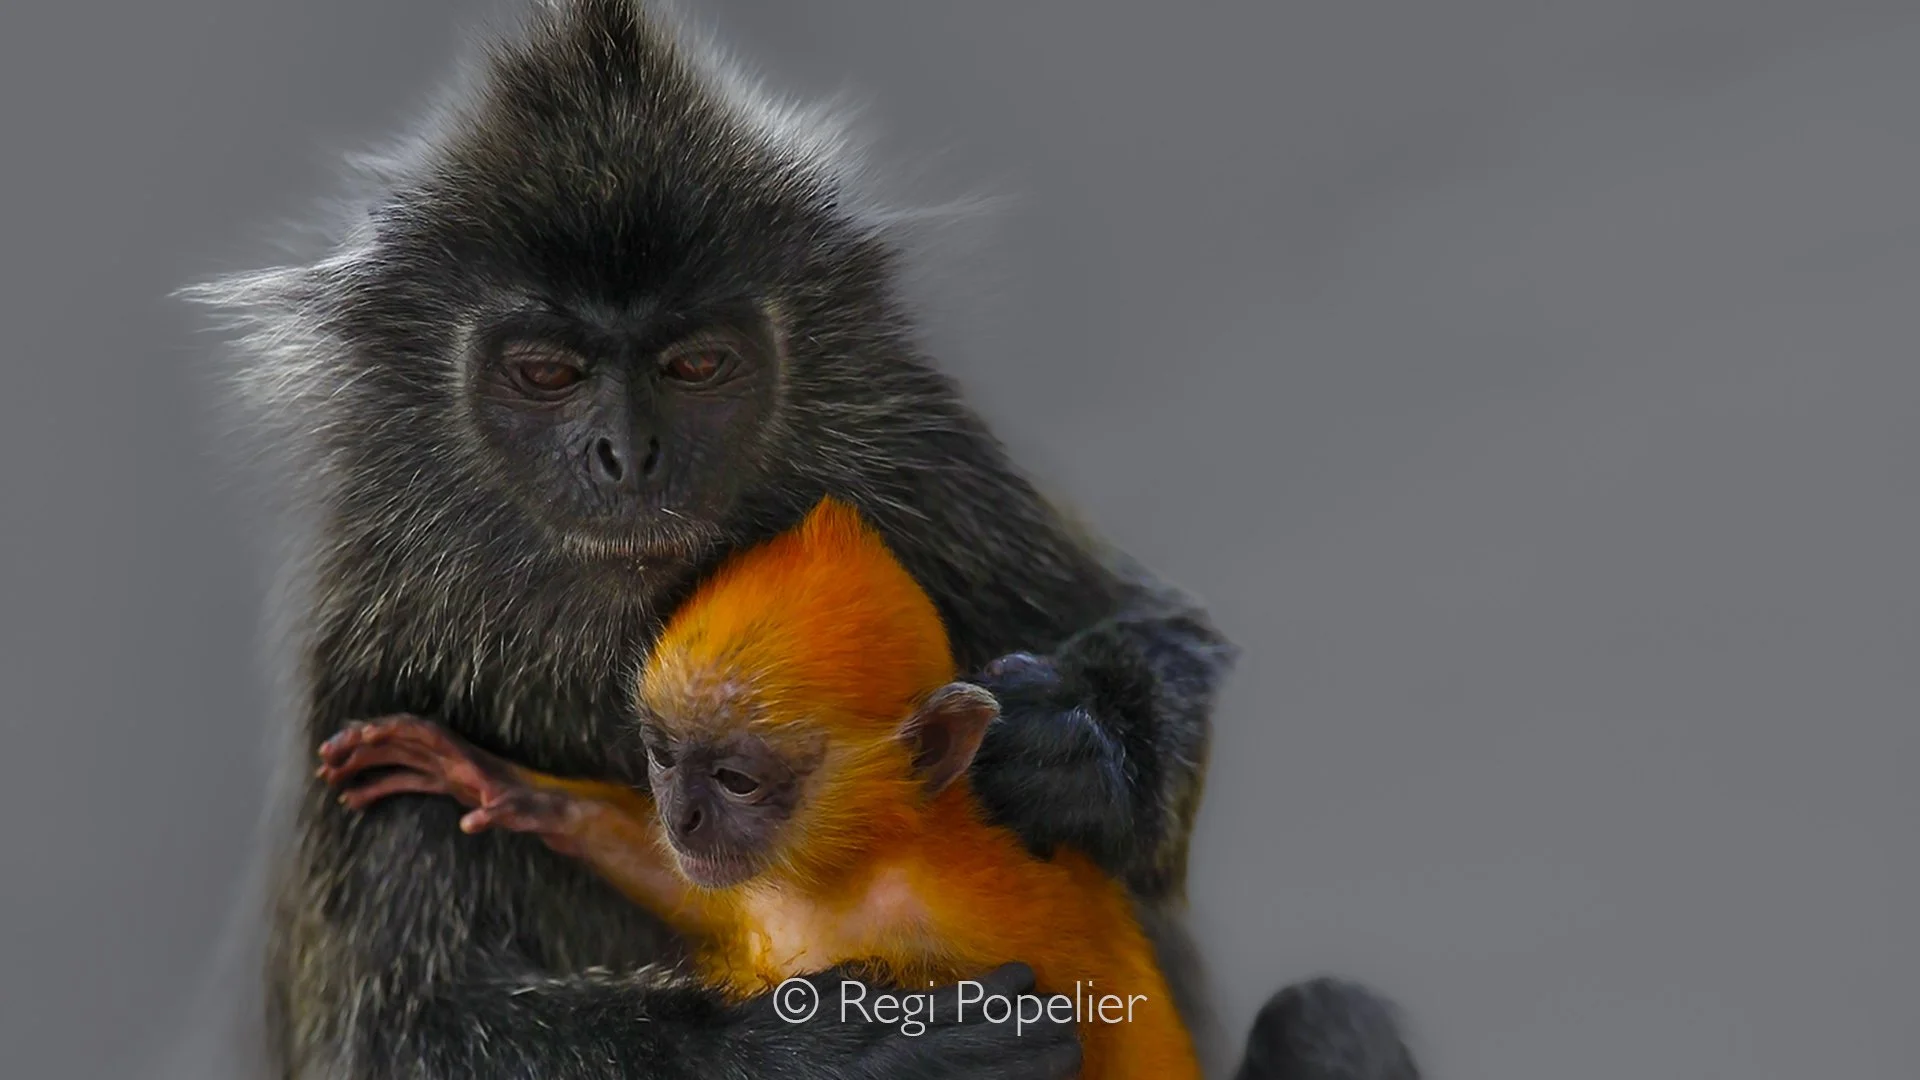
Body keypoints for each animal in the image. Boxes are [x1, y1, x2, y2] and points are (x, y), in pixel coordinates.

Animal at [314, 498, 1206, 1080]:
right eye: (662, 757)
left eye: (737, 780)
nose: (682, 818)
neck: (859, 870)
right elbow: (692, 890)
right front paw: (502, 784)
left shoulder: (966, 934)